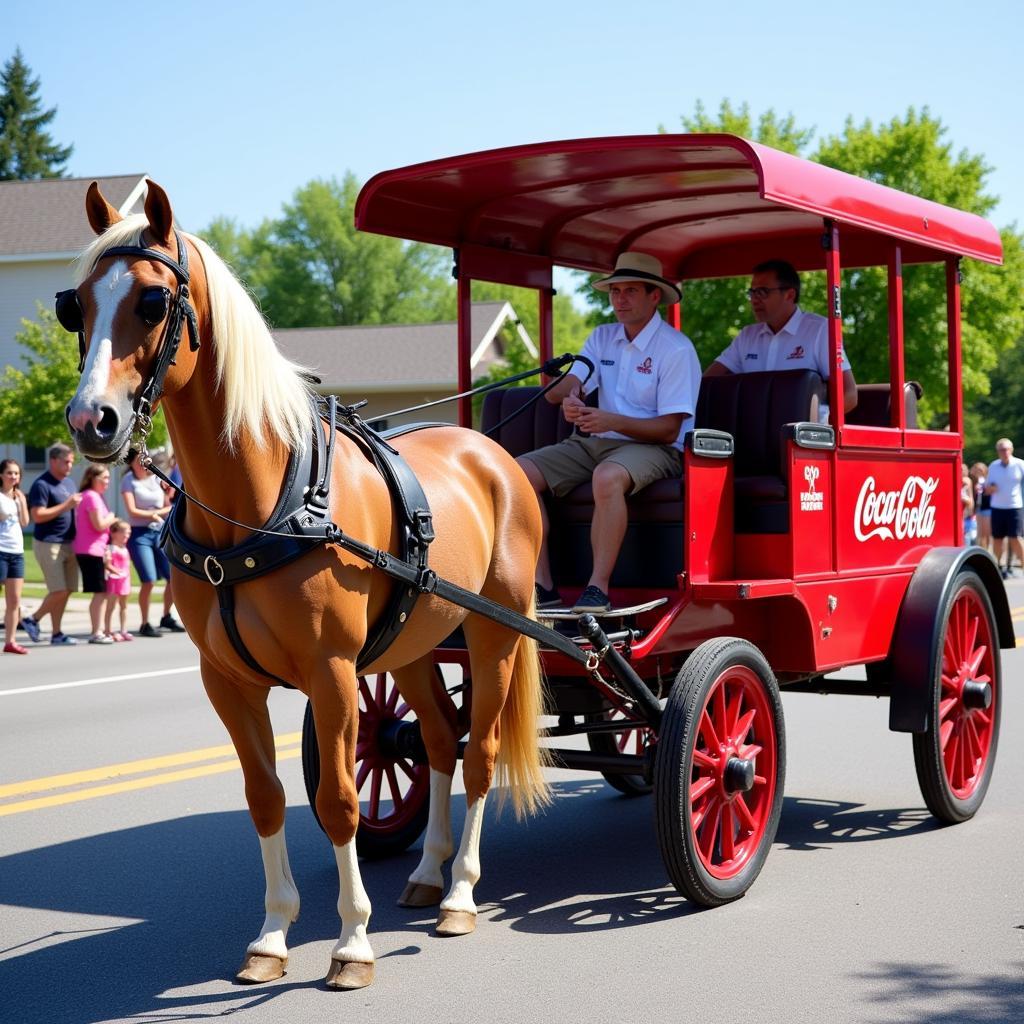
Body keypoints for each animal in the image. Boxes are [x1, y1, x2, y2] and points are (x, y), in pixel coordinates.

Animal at [61, 180, 552, 987]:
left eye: (153, 302)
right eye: (76, 306)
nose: (89, 420)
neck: (258, 502)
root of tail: (491, 451)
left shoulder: (331, 671)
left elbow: (339, 799)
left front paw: (352, 941)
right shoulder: (227, 679)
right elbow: (266, 798)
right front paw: (271, 935)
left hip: (495, 632)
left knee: (478, 754)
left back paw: (461, 893)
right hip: (413, 645)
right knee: (438, 743)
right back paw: (428, 871)